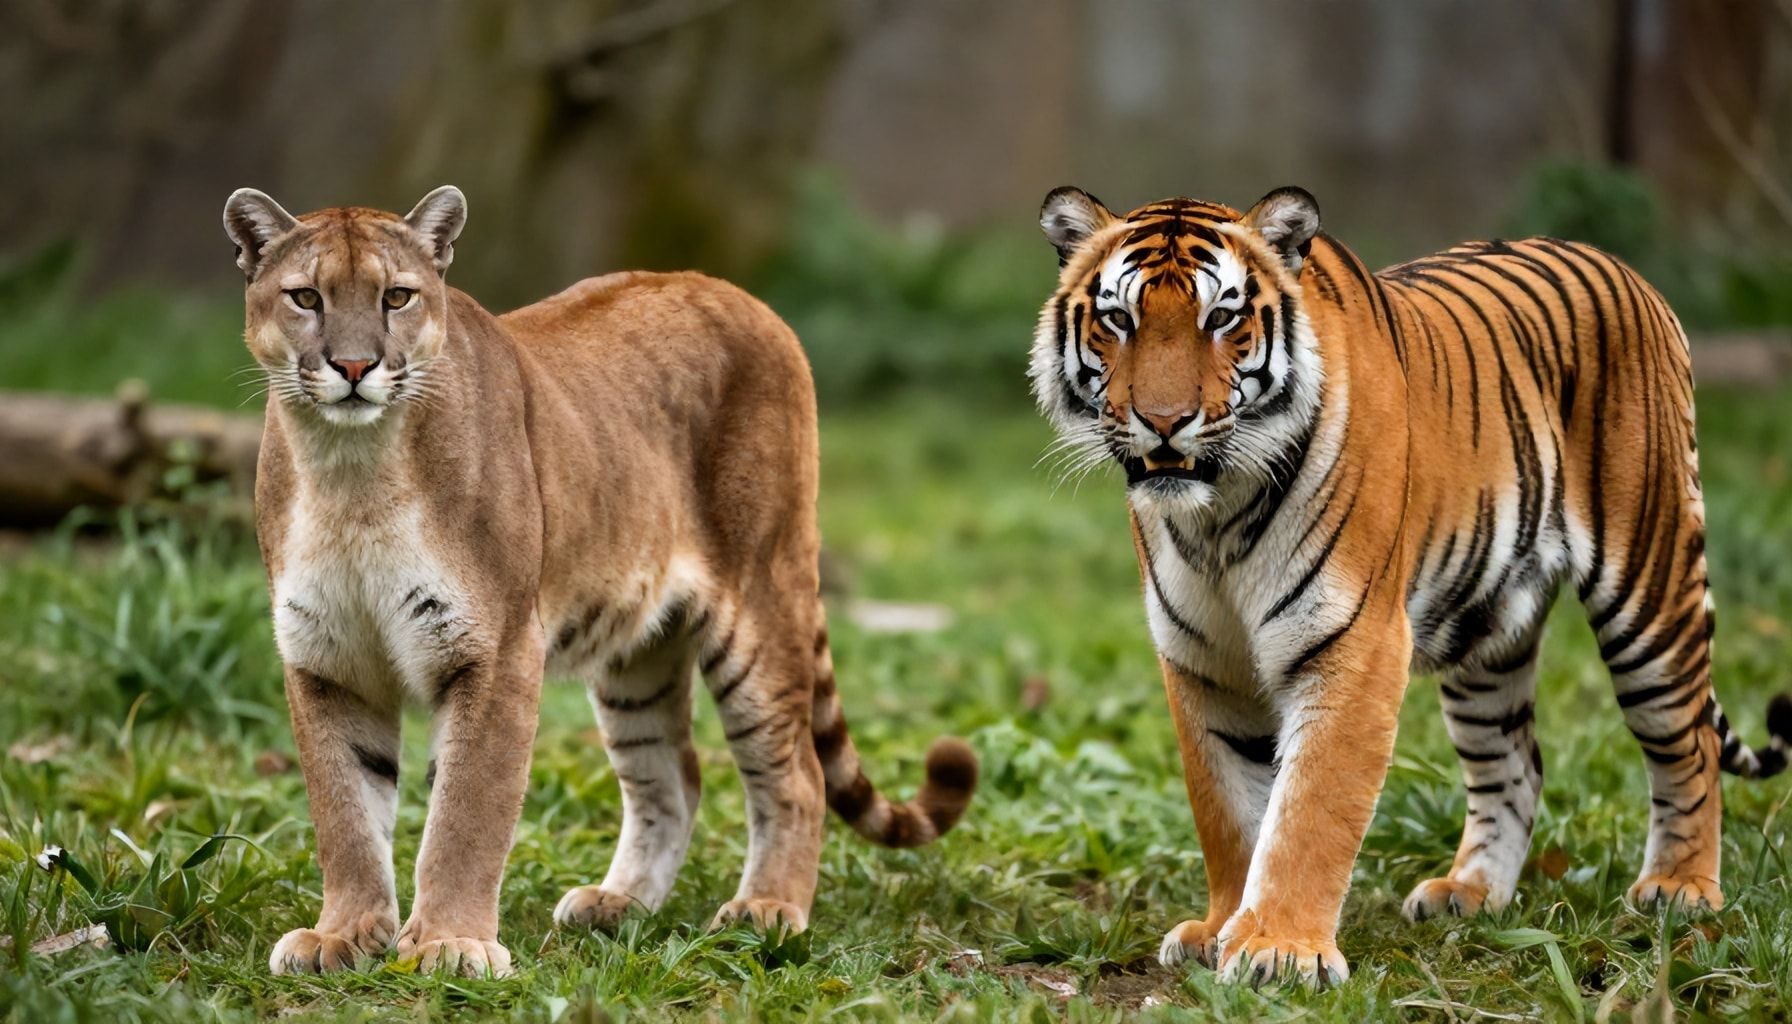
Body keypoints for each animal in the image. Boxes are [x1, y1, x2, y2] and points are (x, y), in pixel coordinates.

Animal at [224, 186, 977, 978]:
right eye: (306, 297)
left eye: (396, 296)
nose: (354, 365)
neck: (351, 471)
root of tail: (734, 291)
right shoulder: (327, 658)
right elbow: (344, 811)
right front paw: (344, 935)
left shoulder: (496, 651)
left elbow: (466, 812)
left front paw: (452, 944)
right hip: (636, 653)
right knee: (673, 777)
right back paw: (620, 905)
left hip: (763, 603)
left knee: (797, 773)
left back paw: (767, 913)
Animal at [1029, 184, 1792, 986]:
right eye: (1119, 319)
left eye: (1223, 319)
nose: (1164, 422)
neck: (1218, 519)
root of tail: (1618, 266)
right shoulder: (1203, 661)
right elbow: (1228, 812)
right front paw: (1220, 929)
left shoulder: (1354, 643)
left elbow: (1310, 810)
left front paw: (1280, 951)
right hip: (1487, 629)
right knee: (1516, 764)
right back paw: (1470, 893)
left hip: (1650, 583)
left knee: (1688, 742)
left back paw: (1679, 891)